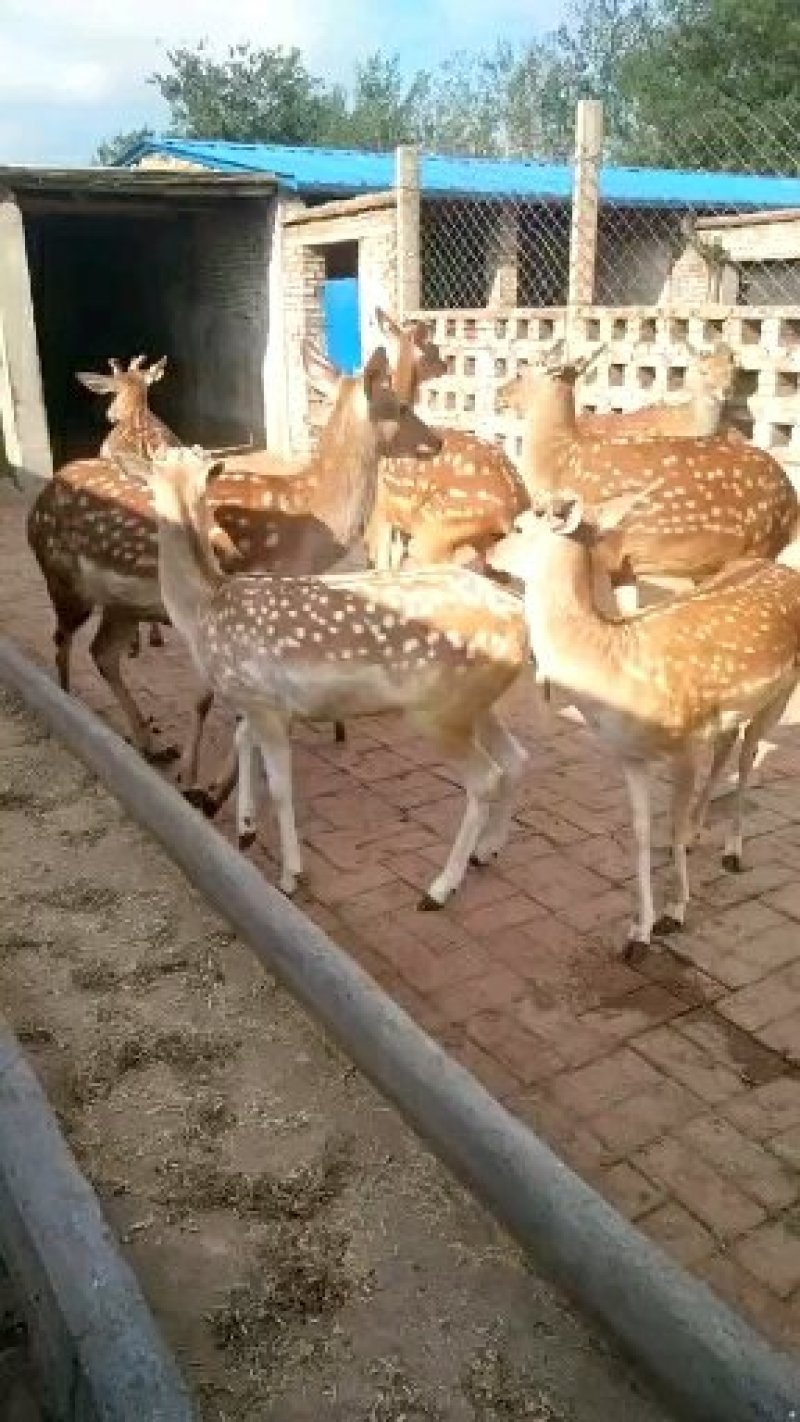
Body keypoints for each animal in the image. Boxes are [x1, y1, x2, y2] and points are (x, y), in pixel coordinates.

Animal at [28, 343, 441, 786]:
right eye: (401, 405)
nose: (437, 441)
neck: (310, 527)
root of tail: (39, 502)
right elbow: (210, 700)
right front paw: (198, 780)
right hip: (62, 578)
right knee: (62, 642)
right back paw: (70, 708)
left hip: (122, 603)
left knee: (103, 653)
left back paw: (150, 744)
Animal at [142, 444, 529, 906]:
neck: (203, 607)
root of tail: (521, 620)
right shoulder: (261, 701)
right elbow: (241, 741)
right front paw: (245, 829)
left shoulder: (260, 701)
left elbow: (281, 786)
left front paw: (290, 874)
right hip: (475, 704)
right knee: (516, 757)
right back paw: (486, 851)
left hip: (439, 712)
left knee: (486, 778)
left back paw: (439, 889)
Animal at [363, 308, 529, 572]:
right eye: (433, 348)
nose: (445, 364)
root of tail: (514, 509)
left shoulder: (383, 511)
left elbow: (383, 565)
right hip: (482, 541)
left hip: (435, 528)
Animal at [488, 488, 800, 957]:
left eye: (522, 526)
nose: (488, 554)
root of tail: (784, 569)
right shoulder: (629, 755)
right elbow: (640, 831)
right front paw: (639, 931)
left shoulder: (685, 743)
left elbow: (669, 827)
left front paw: (676, 911)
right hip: (729, 711)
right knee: (727, 746)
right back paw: (700, 830)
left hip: (780, 693)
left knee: (749, 756)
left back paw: (733, 849)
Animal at [497, 340, 798, 616]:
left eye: (521, 372)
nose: (499, 394)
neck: (561, 460)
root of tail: (792, 500)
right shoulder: (623, 563)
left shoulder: (600, 548)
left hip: (751, 546)